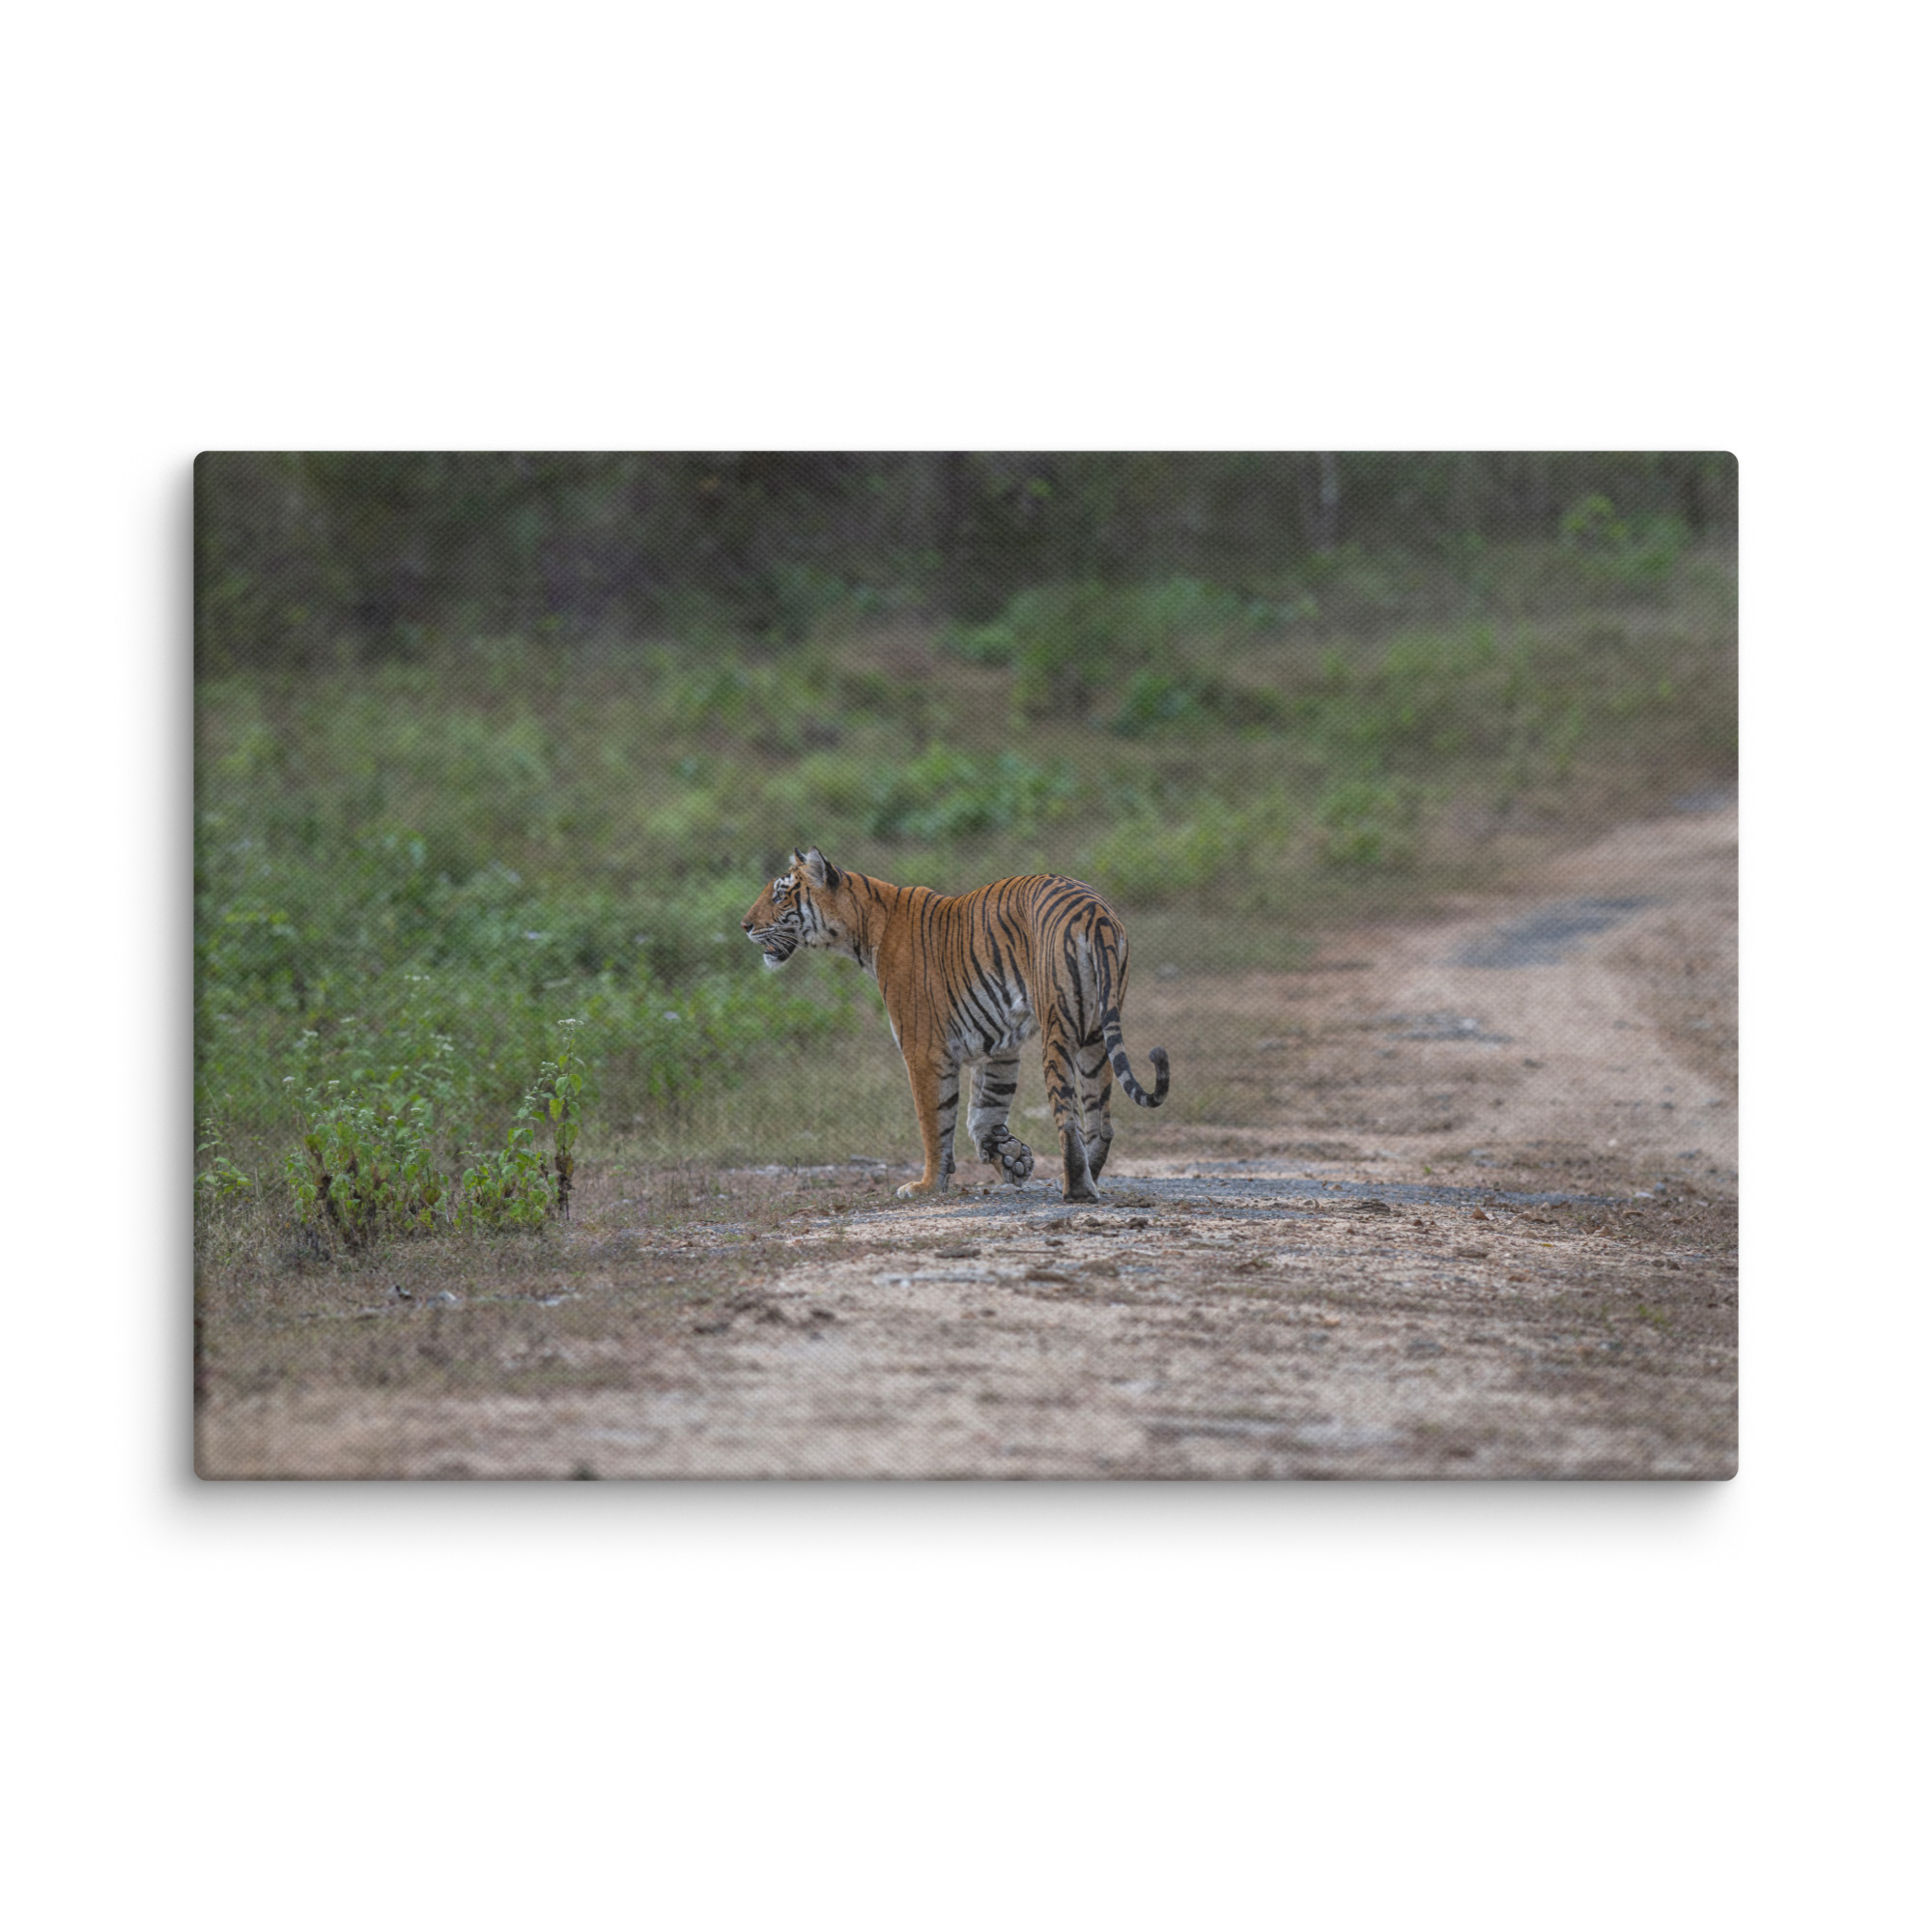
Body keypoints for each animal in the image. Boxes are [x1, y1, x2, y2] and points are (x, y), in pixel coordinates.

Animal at [741, 848, 1169, 1202]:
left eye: (780, 895)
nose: (744, 925)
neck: (862, 927)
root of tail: (1094, 911)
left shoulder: (924, 1050)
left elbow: (935, 1121)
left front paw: (928, 1185)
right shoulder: (999, 1047)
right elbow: (984, 1110)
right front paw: (1010, 1157)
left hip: (1059, 1029)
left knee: (1067, 1118)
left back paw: (1076, 1190)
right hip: (1095, 1034)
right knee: (1101, 1121)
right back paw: (1088, 1178)